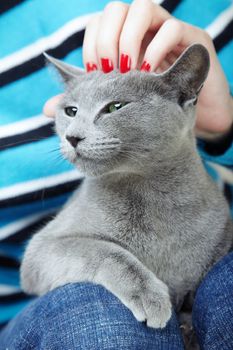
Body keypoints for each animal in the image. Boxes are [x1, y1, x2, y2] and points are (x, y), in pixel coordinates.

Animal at [20, 43, 233, 342]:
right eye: (71, 111)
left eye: (114, 107)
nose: (72, 137)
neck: (152, 196)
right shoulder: (42, 247)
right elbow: (106, 251)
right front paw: (150, 296)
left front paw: (186, 327)